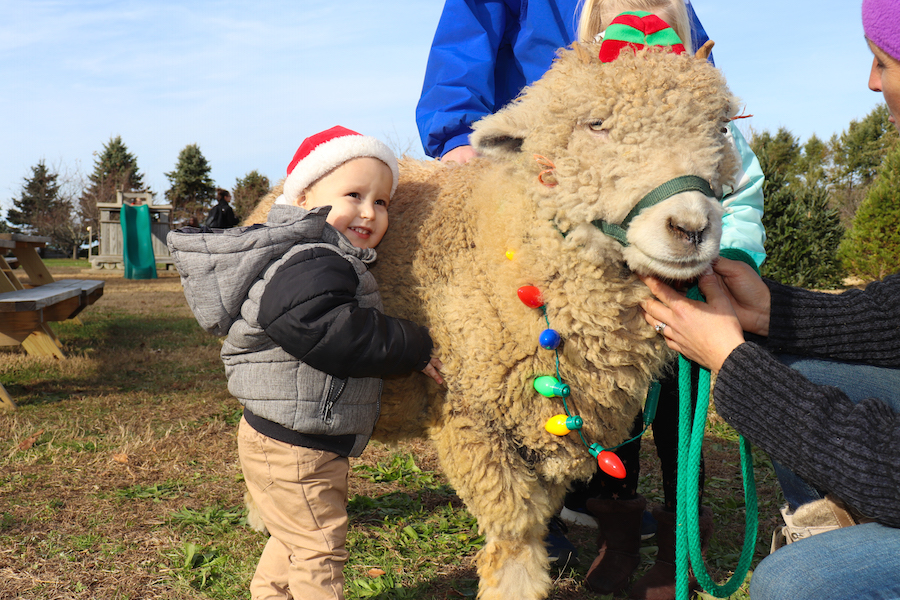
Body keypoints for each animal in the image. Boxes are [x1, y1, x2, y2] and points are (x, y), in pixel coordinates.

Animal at [243, 41, 736, 600]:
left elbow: (535, 517)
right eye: (595, 125)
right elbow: (515, 531)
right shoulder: (471, 415)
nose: (691, 228)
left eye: (721, 128)